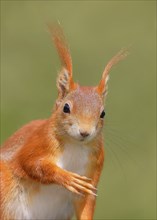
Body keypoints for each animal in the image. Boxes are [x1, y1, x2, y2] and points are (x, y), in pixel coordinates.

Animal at [0, 24, 127, 219]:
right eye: (66, 108)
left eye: (103, 113)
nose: (84, 132)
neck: (75, 146)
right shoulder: (36, 142)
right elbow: (31, 163)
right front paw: (67, 177)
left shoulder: (94, 170)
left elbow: (86, 202)